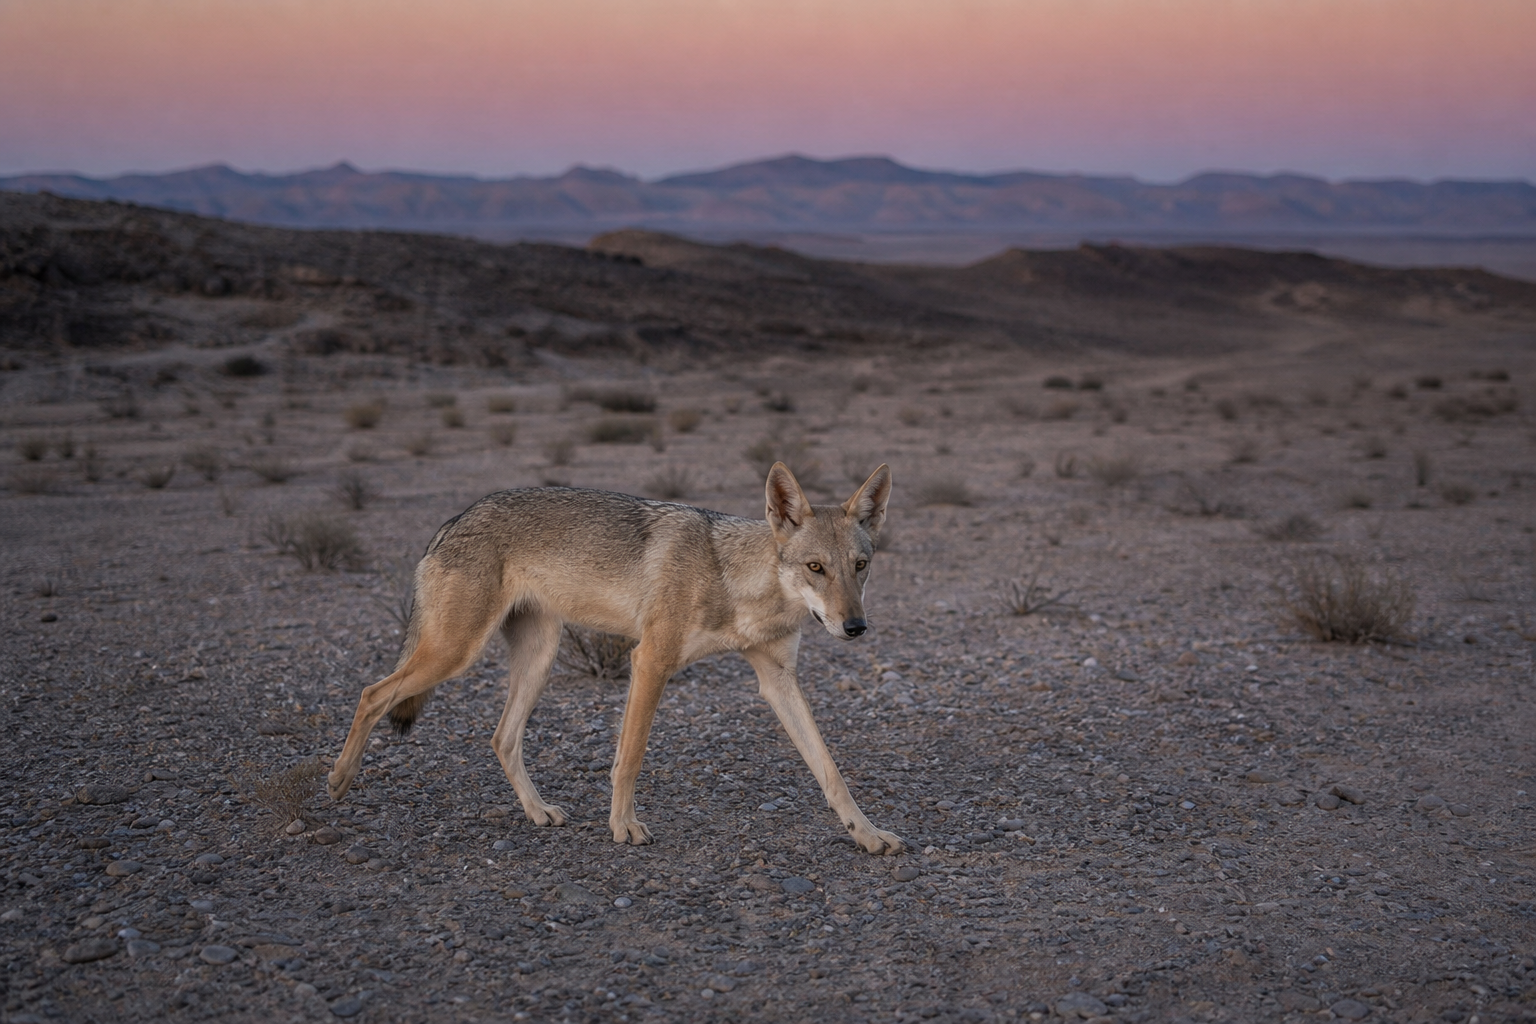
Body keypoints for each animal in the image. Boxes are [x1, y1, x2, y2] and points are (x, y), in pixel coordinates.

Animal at [327, 462, 905, 855]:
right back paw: (338, 779)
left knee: (501, 738)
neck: (736, 581)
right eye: (815, 567)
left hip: (537, 658)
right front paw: (623, 826)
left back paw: (538, 811)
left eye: (860, 566)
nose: (855, 627)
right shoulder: (650, 660)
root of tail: (453, 519)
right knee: (373, 692)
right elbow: (630, 757)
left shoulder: (778, 679)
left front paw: (867, 833)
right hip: (454, 654)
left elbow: (829, 768)